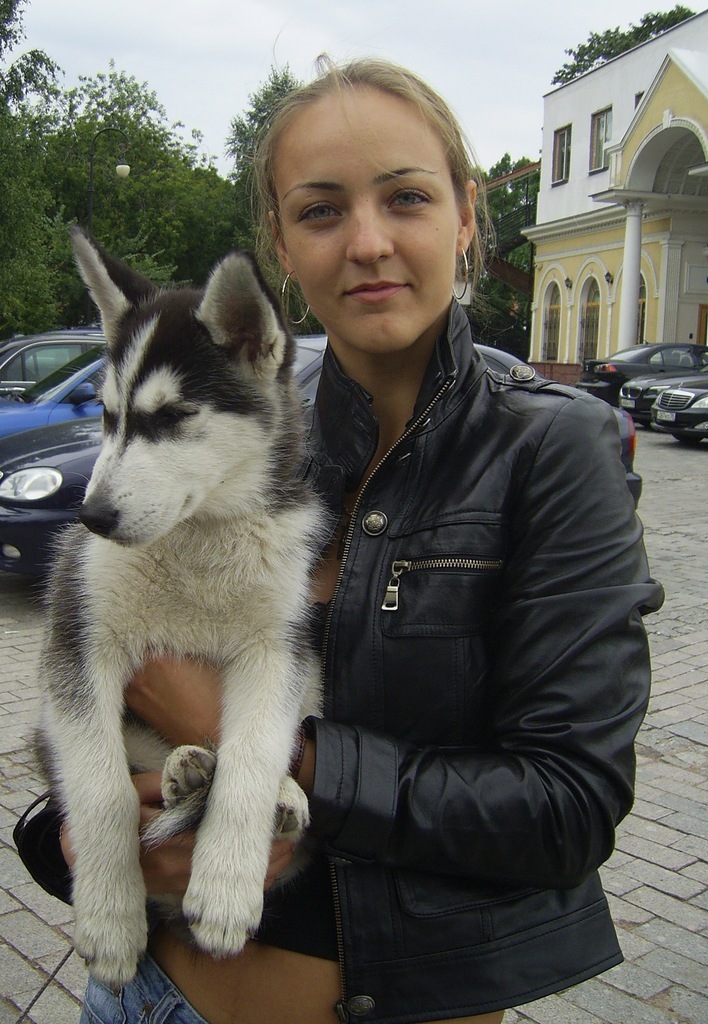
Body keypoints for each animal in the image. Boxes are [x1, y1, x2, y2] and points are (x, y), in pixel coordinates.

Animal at [37, 228, 325, 987]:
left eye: (171, 417)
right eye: (107, 417)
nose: (91, 517)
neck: (199, 542)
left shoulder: (278, 650)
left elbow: (254, 757)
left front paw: (225, 889)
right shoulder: (77, 640)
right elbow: (104, 788)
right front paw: (110, 917)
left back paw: (278, 796)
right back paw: (184, 769)